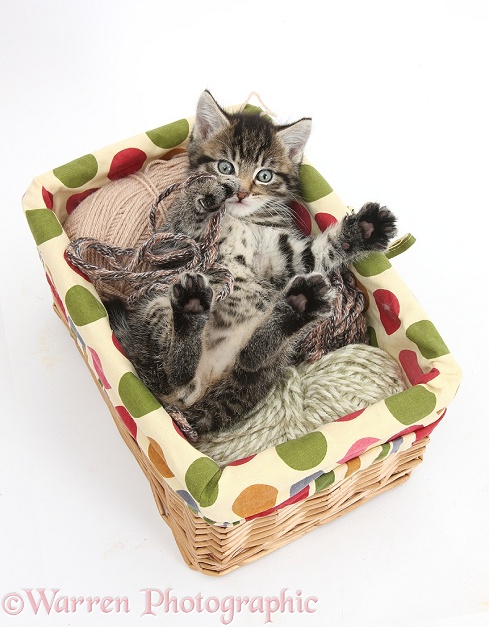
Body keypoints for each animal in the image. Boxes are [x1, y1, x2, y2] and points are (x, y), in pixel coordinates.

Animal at [107, 91, 396, 440]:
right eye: (225, 166)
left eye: (264, 175)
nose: (241, 192)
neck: (242, 220)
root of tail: (205, 386)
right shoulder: (174, 241)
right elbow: (189, 216)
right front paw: (206, 193)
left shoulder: (286, 256)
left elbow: (319, 252)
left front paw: (365, 230)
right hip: (157, 307)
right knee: (173, 372)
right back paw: (191, 310)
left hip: (272, 353)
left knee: (251, 358)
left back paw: (299, 305)